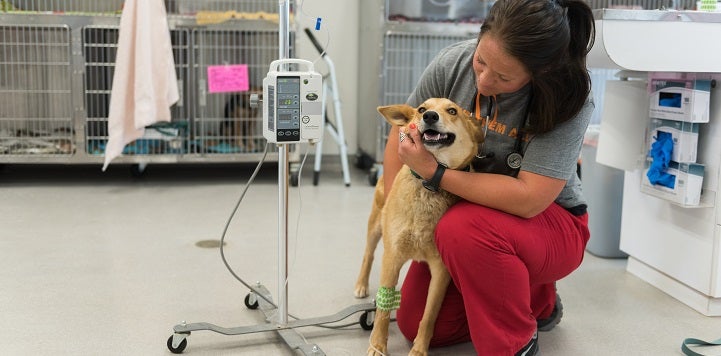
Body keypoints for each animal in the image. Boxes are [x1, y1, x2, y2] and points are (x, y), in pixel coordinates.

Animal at [356, 98, 484, 356]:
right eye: (422, 109)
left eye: (453, 110)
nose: (430, 116)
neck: (428, 185)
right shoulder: (392, 256)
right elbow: (383, 311)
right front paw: (378, 345)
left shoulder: (441, 270)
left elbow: (429, 315)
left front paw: (419, 349)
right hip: (376, 226)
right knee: (368, 255)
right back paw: (361, 285)